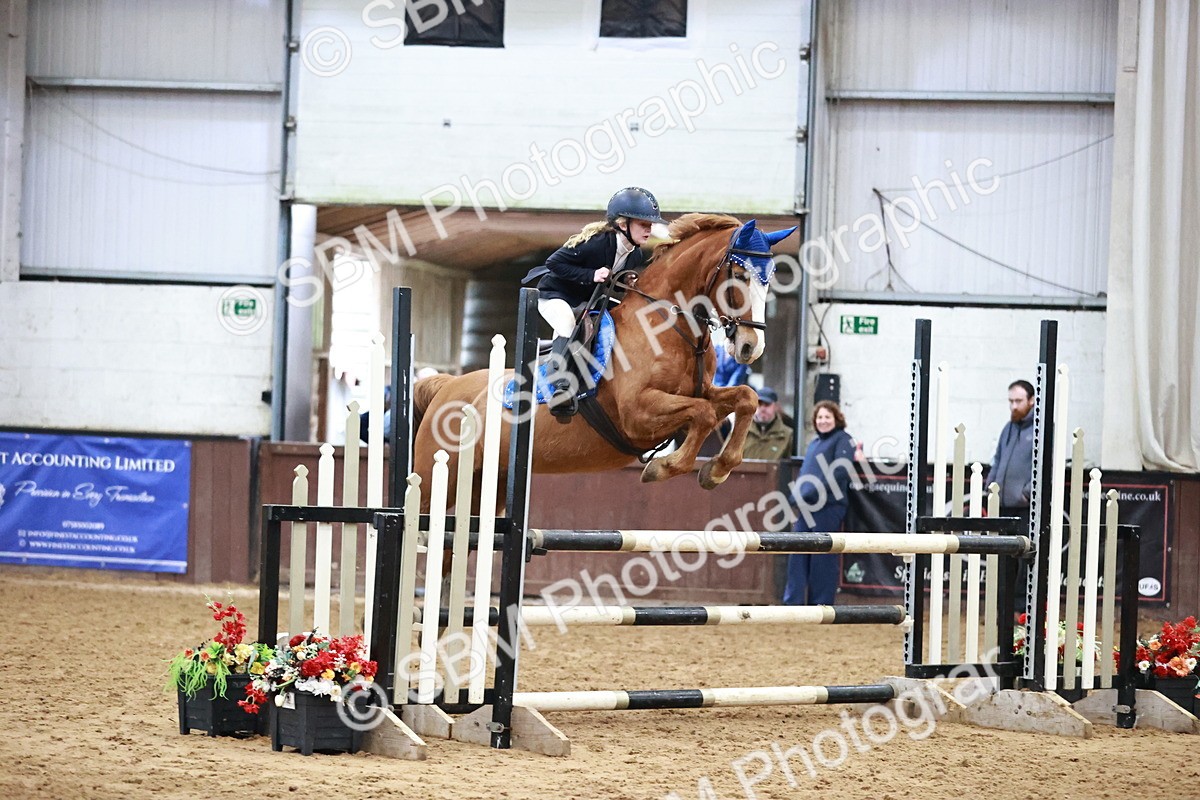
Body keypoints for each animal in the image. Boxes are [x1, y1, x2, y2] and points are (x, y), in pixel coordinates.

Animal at [412, 213, 797, 511]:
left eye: (770, 281)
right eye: (741, 277)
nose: (750, 347)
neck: (666, 325)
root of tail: (448, 386)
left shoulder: (702, 393)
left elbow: (744, 398)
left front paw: (716, 470)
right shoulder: (637, 415)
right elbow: (701, 414)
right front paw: (662, 468)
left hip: (487, 486)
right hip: (435, 479)